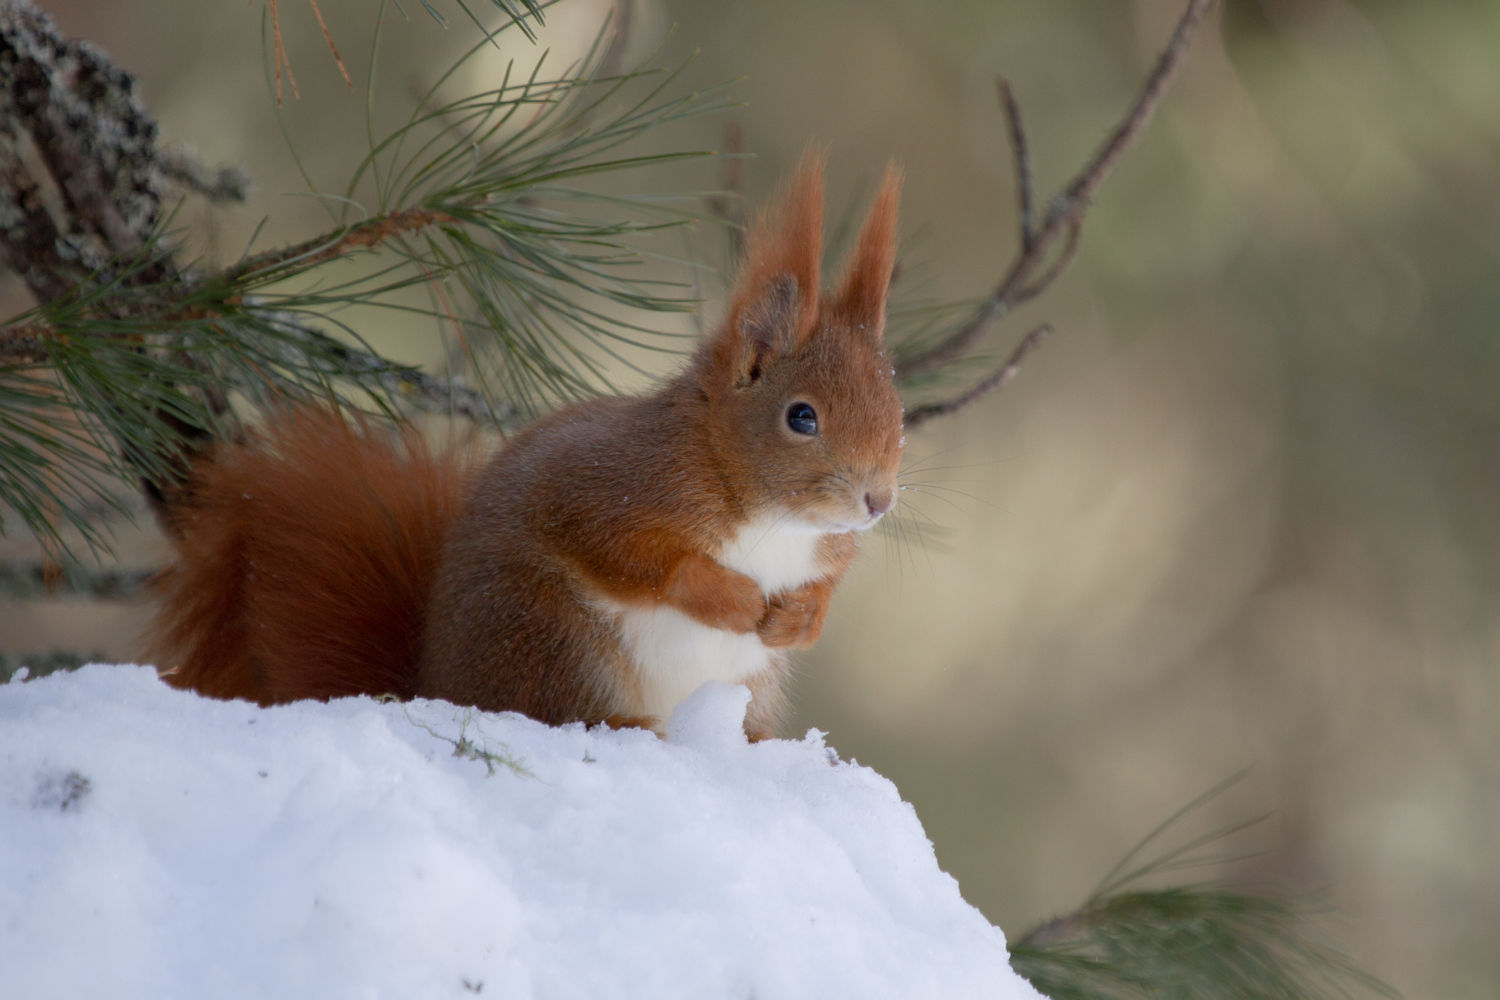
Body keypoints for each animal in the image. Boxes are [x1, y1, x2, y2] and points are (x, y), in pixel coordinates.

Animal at [149, 156, 904, 740]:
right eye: (801, 417)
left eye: (896, 411)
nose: (878, 502)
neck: (767, 512)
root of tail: (434, 683)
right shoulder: (611, 486)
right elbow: (633, 555)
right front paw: (733, 598)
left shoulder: (825, 550)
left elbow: (827, 581)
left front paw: (800, 617)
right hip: (551, 634)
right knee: (557, 708)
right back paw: (627, 724)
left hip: (744, 682)